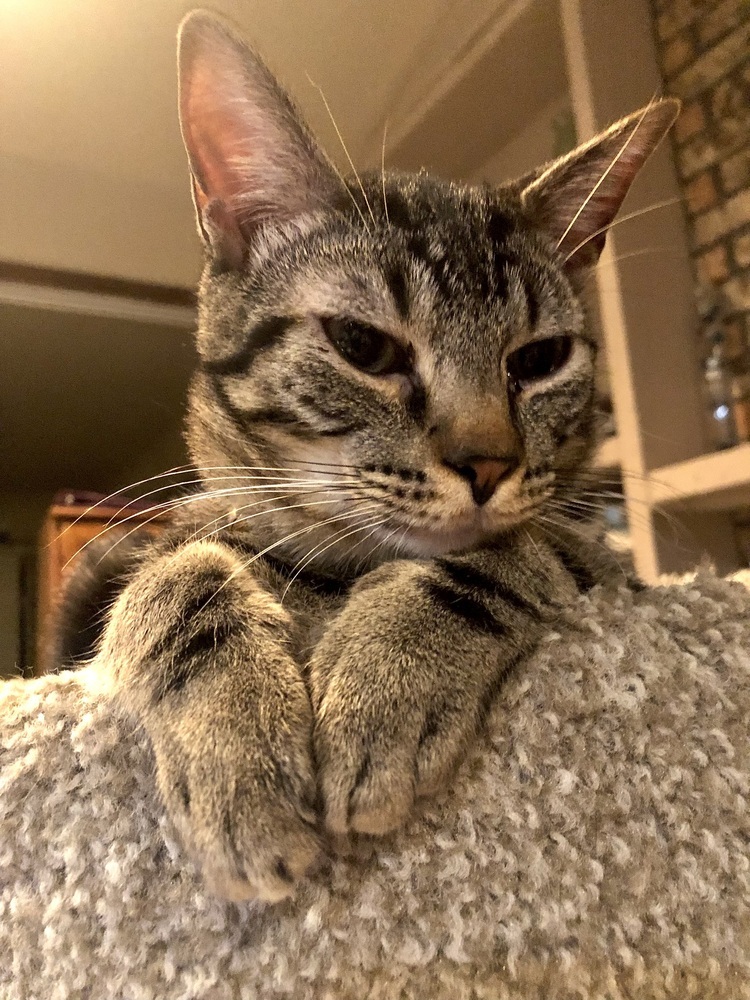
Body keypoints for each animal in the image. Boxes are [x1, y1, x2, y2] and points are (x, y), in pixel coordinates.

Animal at [91, 7, 680, 904]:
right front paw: (237, 757)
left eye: (541, 359)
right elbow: (180, 578)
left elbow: (510, 550)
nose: (487, 465)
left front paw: (387, 679)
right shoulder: (195, 531)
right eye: (363, 346)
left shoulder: (602, 561)